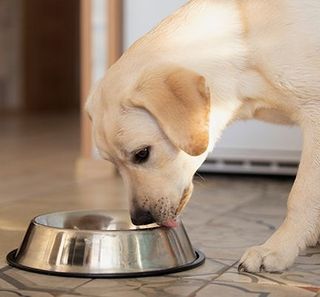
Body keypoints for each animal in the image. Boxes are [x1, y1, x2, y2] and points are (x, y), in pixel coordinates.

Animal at [86, 0, 320, 272]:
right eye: (113, 163)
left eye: (142, 153)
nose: (140, 218)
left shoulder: (315, 114)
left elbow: (301, 196)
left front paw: (278, 249)